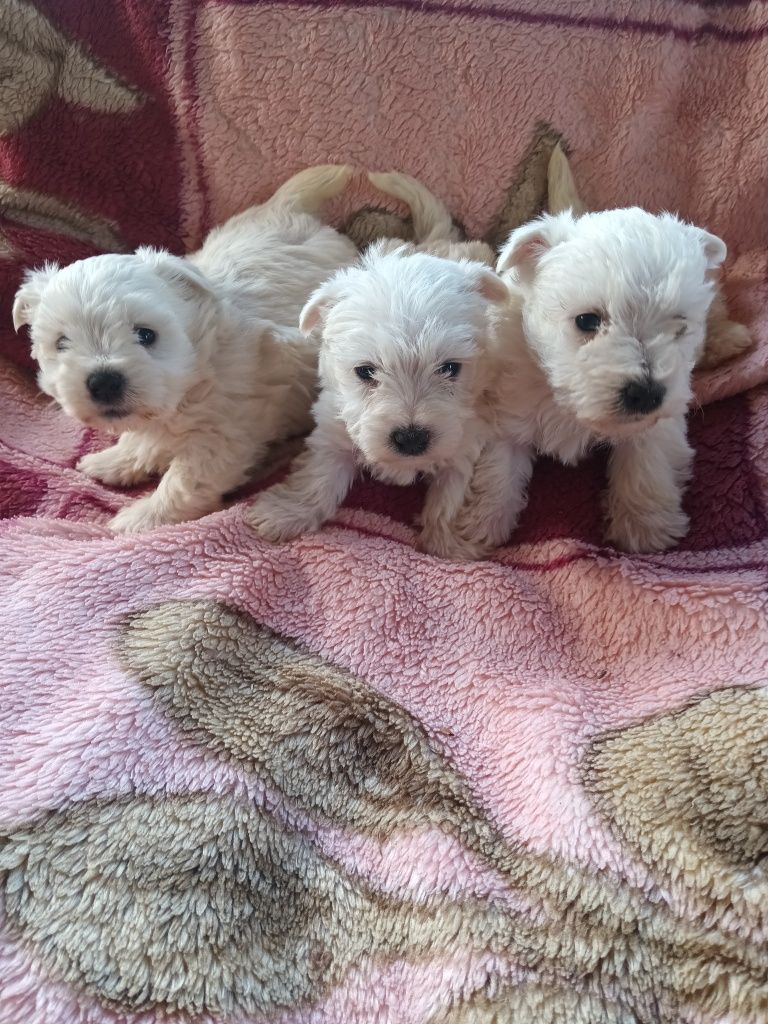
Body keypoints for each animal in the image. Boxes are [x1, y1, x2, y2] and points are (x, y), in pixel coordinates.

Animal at [14, 163, 358, 532]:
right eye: (61, 343)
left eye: (146, 335)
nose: (104, 382)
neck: (196, 366)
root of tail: (286, 207)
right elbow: (141, 441)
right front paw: (114, 461)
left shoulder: (221, 434)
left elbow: (182, 483)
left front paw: (141, 519)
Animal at [247, 172, 512, 557]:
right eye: (365, 371)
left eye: (450, 368)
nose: (411, 438)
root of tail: (437, 241)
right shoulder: (333, 427)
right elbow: (317, 477)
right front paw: (285, 513)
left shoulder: (467, 436)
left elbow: (452, 493)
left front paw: (449, 542)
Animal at [450, 203, 729, 557]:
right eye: (587, 320)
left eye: (680, 327)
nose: (646, 394)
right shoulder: (506, 409)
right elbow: (498, 466)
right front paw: (480, 525)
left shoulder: (660, 418)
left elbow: (645, 461)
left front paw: (644, 527)